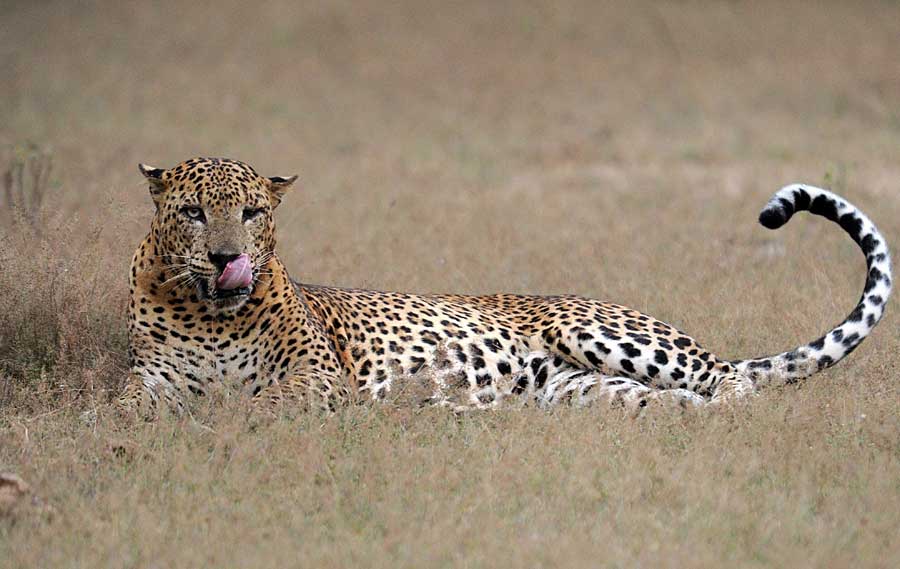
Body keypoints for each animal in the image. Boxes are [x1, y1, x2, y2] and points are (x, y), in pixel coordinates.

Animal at [118, 155, 892, 418]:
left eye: (251, 212)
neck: (214, 314)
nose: (226, 258)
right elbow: (123, 405)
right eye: (193, 212)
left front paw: (233, 419)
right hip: (582, 391)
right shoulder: (151, 374)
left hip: (596, 329)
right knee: (670, 399)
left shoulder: (317, 374)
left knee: (730, 384)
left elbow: (267, 400)